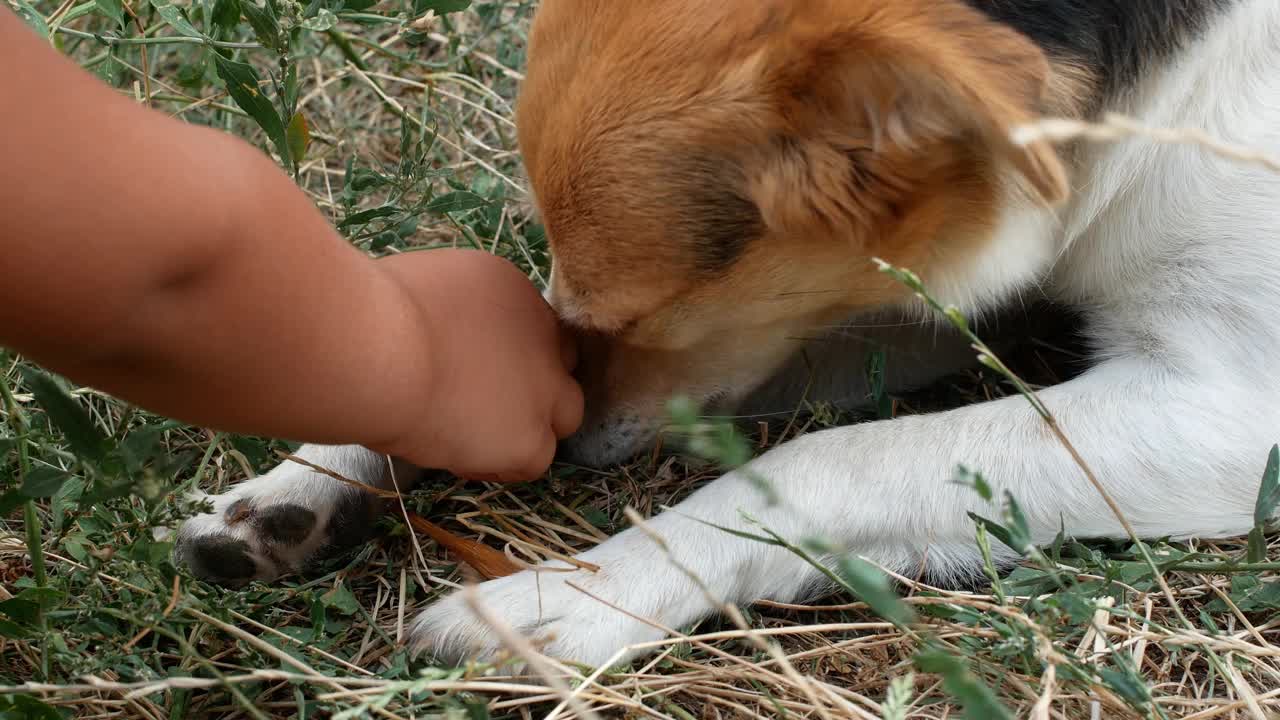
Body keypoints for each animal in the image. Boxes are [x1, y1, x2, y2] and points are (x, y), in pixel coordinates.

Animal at [175, 0, 1280, 666]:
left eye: (631, 314)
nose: (562, 445)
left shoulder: (1227, 408)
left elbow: (828, 461)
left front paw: (583, 591)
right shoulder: (888, 302)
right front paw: (317, 476)